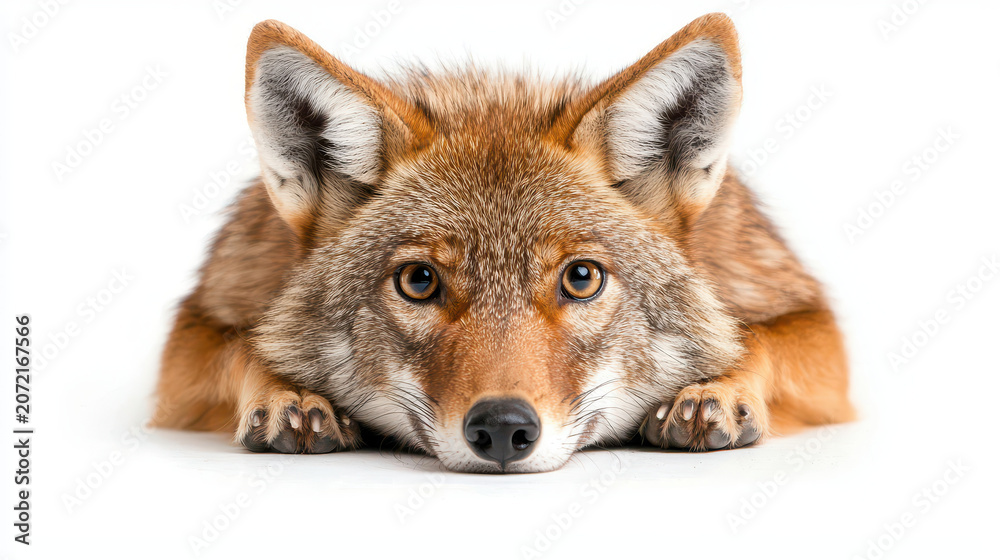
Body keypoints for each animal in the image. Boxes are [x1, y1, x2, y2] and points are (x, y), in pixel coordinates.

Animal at [154, 13, 855, 473]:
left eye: (581, 278)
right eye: (419, 282)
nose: (501, 428)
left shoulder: (811, 328)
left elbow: (759, 337)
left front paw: (716, 389)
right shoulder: (192, 342)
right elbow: (241, 347)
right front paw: (289, 394)